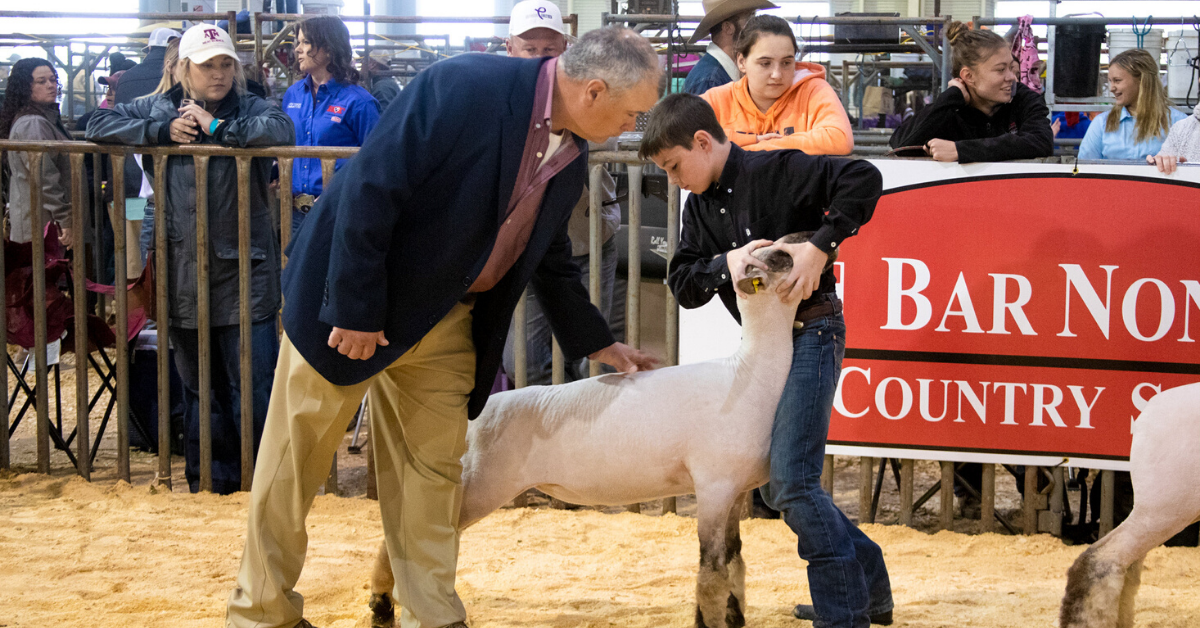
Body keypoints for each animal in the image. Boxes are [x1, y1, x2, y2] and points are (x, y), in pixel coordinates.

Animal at [368, 236, 822, 628]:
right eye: (779, 255)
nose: (807, 239)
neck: (749, 373)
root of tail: (477, 413)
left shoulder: (735, 490)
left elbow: (735, 563)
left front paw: (734, 617)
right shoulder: (713, 485)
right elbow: (711, 573)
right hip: (478, 483)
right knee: (409, 533)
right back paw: (380, 604)